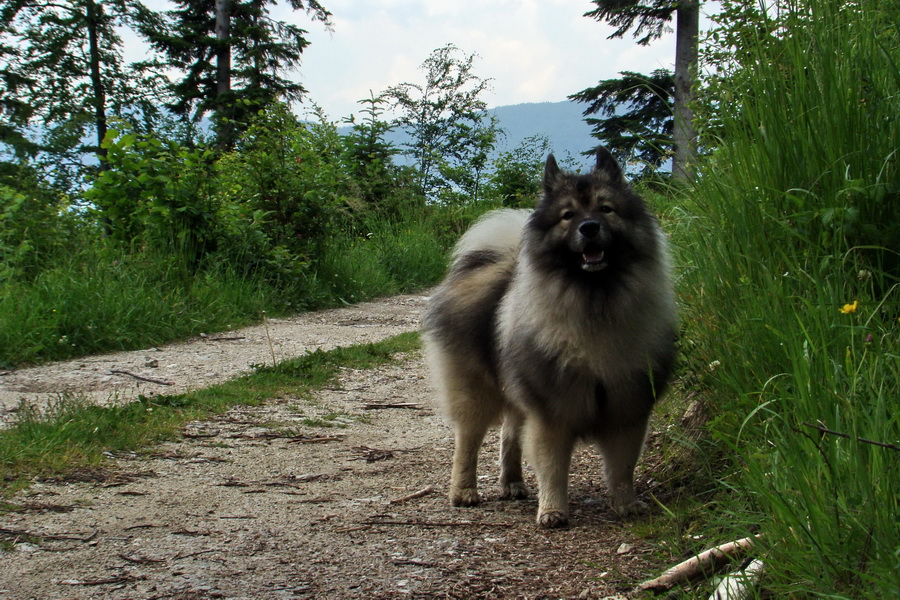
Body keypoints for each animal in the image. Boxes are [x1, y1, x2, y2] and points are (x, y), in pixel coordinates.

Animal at [426, 148, 680, 528]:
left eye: (606, 209)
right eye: (568, 215)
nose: (589, 227)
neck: (593, 302)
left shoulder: (627, 409)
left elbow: (622, 467)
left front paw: (626, 504)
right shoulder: (552, 412)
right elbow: (553, 468)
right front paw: (552, 511)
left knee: (509, 435)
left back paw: (512, 483)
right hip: (475, 392)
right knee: (467, 443)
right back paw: (464, 492)